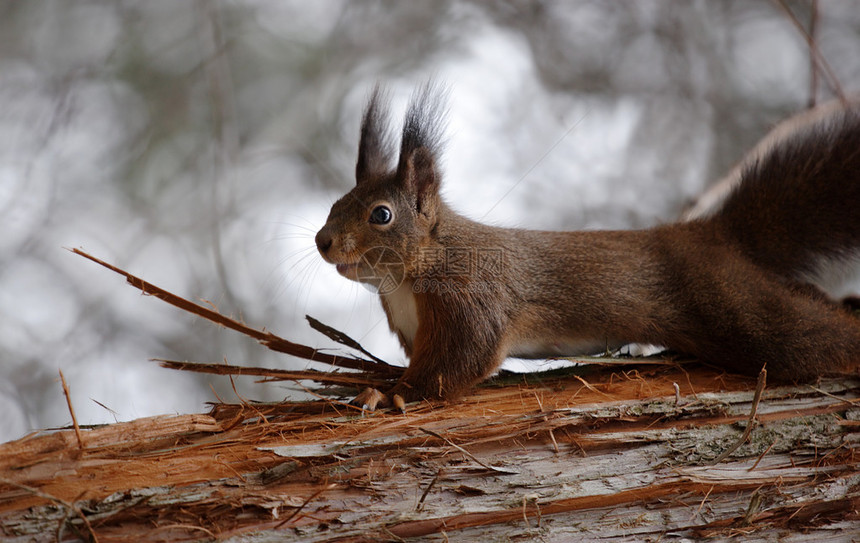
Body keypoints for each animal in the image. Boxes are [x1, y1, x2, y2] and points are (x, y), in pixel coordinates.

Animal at [316, 83, 860, 410]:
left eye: (381, 215)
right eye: (336, 202)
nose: (323, 242)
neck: (404, 278)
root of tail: (713, 234)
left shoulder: (472, 296)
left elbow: (459, 363)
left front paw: (393, 393)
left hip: (732, 305)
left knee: (809, 336)